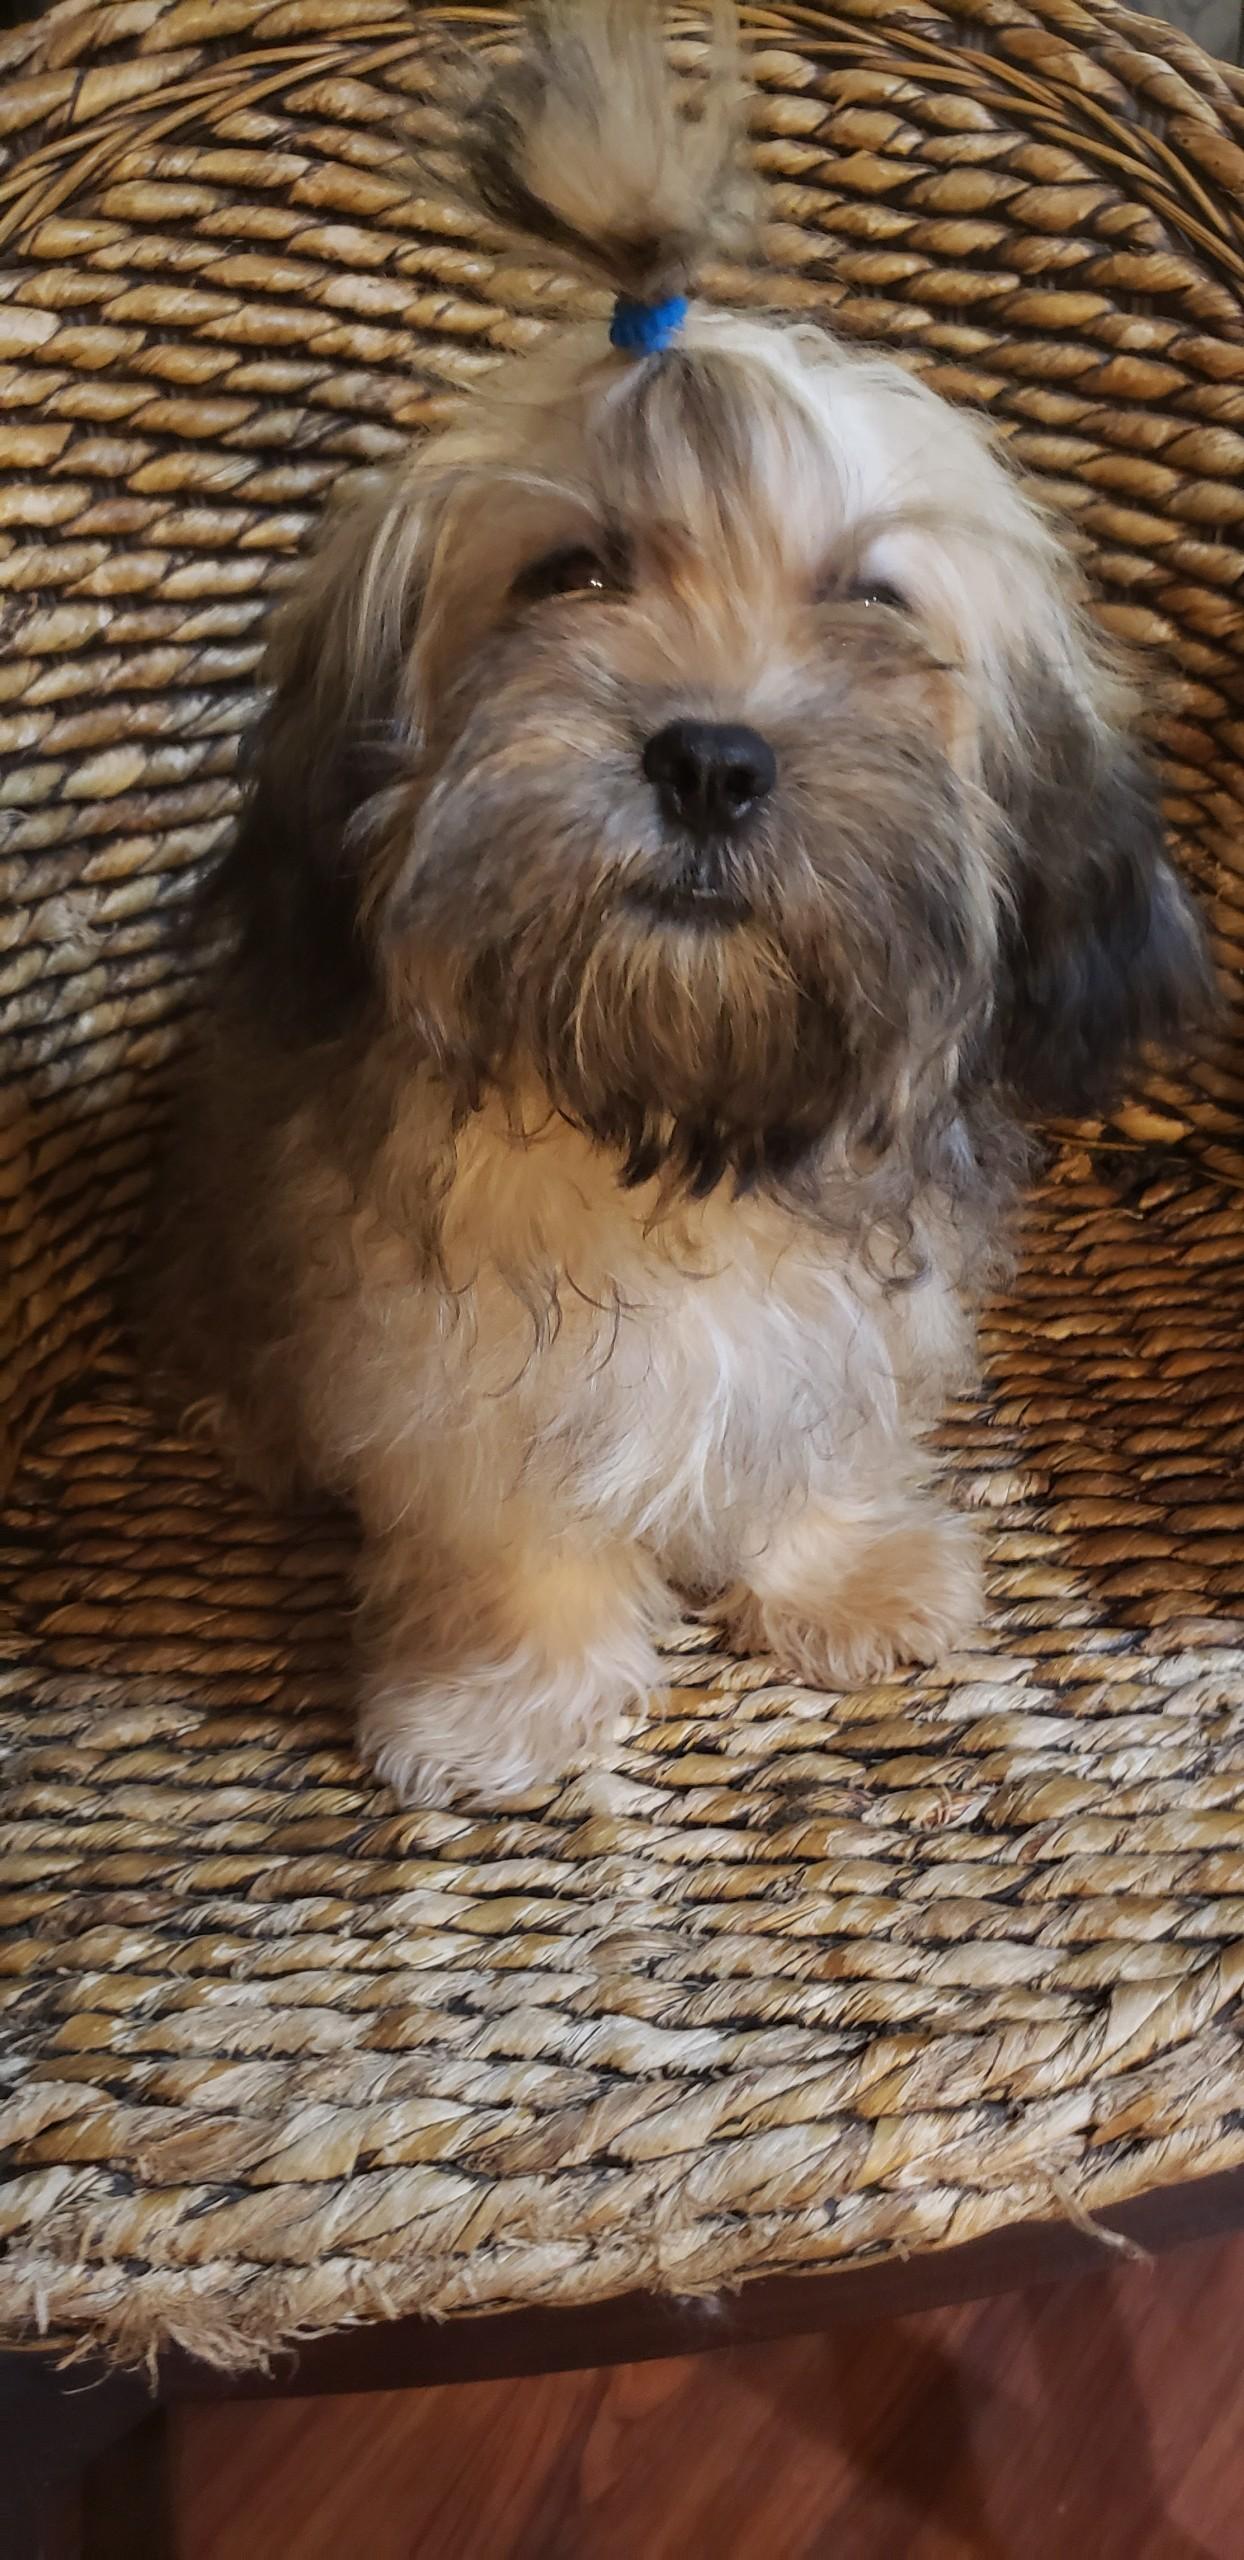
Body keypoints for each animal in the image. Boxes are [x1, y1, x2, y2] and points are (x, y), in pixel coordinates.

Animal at [149, 1, 1209, 1806]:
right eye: (568, 573)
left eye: (871, 601)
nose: (710, 761)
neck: (678, 1108)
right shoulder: (447, 1358)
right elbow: (504, 1513)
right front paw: (502, 1697)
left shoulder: (842, 1329)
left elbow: (811, 1439)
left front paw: (841, 1576)